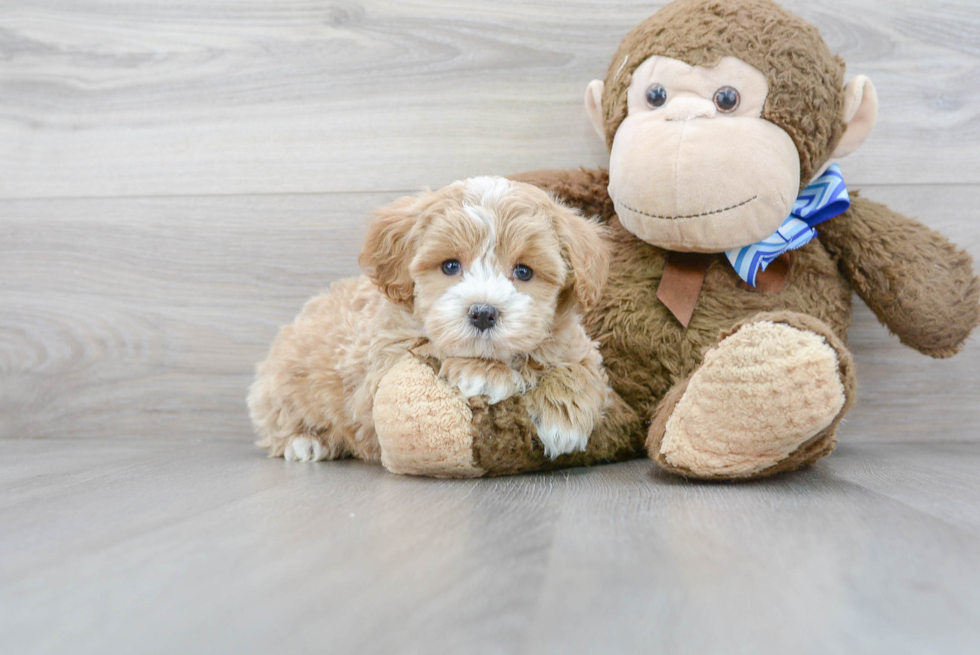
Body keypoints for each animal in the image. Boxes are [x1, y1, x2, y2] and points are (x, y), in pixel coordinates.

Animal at [249, 177, 608, 464]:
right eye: (450, 266)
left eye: (523, 271)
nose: (483, 312)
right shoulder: (379, 365)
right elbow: (429, 346)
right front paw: (484, 373)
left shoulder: (576, 344)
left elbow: (580, 369)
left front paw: (562, 423)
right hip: (279, 386)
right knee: (278, 422)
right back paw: (305, 442)